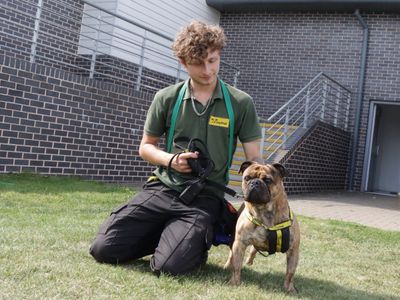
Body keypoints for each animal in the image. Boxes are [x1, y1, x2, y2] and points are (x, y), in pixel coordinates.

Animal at [225, 162, 300, 292]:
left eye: (268, 180)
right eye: (247, 178)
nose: (255, 182)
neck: (263, 211)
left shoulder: (293, 250)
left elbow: (290, 273)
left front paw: (289, 289)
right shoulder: (239, 244)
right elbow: (236, 266)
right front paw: (234, 282)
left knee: (253, 249)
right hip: (234, 240)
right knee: (232, 254)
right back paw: (228, 265)